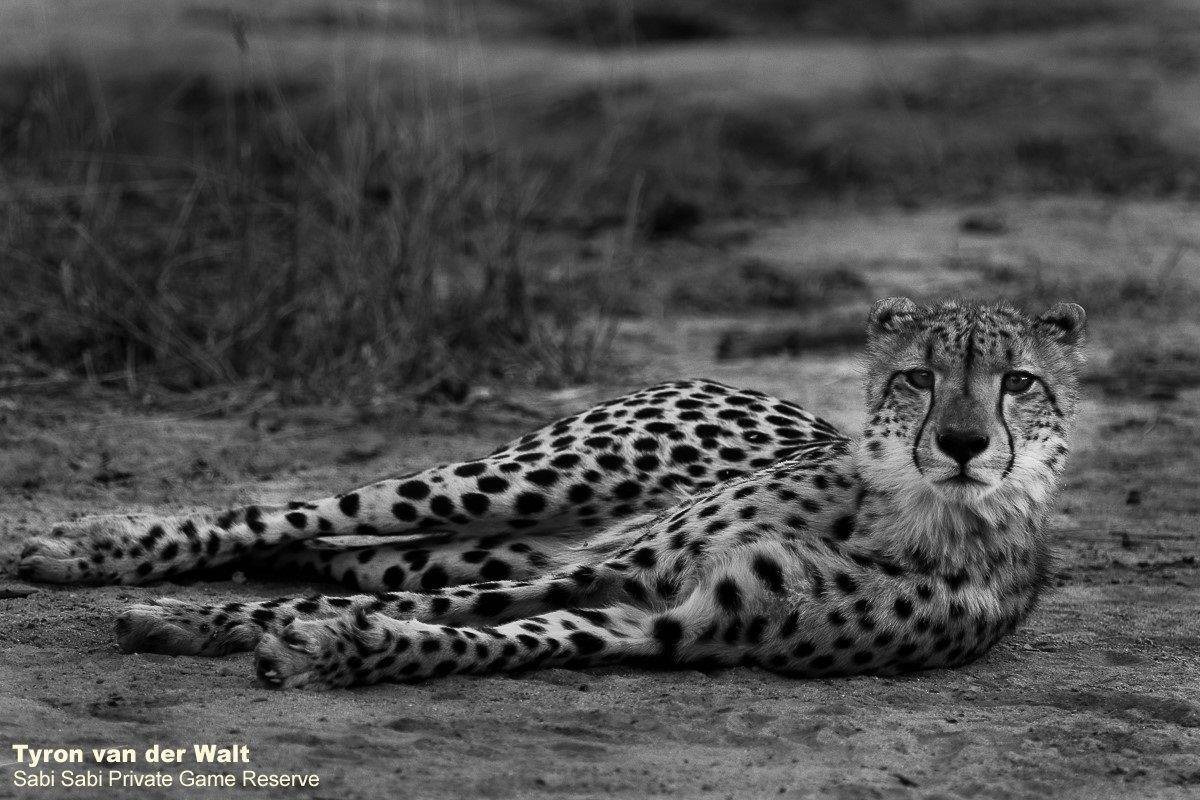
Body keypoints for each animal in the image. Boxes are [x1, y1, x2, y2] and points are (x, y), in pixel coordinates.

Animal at [14, 297, 1086, 690]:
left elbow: (492, 635)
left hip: (485, 538)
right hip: (515, 483)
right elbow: (414, 609)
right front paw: (198, 622)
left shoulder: (670, 618)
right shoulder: (626, 573)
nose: (961, 443)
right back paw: (91, 550)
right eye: (918, 376)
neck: (904, 507)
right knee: (292, 517)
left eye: (1016, 383)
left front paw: (342, 648)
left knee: (332, 553)